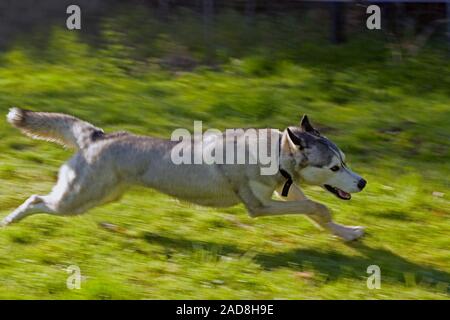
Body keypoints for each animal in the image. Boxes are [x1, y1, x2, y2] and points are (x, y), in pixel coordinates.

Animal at [2, 107, 366, 240]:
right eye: (334, 167)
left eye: (345, 161)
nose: (363, 182)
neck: (275, 154)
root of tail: (98, 136)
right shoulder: (259, 207)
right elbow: (317, 206)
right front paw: (340, 224)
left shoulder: (284, 190)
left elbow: (317, 213)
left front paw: (348, 233)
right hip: (76, 199)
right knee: (35, 199)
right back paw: (9, 221)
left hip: (100, 197)